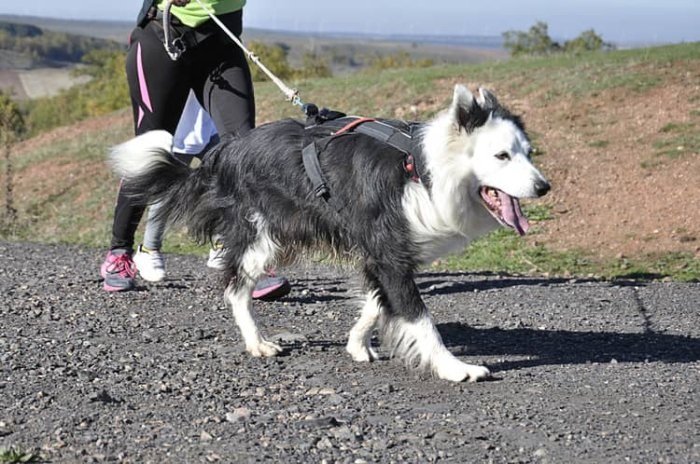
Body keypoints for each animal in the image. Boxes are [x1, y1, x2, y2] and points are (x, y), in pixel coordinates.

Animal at [109, 85, 548, 382]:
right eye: (501, 156)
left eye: (528, 153)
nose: (544, 187)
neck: (421, 170)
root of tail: (220, 155)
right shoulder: (389, 253)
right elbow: (420, 319)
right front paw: (455, 368)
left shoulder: (381, 255)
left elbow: (375, 303)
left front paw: (357, 345)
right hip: (261, 235)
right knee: (236, 289)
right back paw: (257, 342)